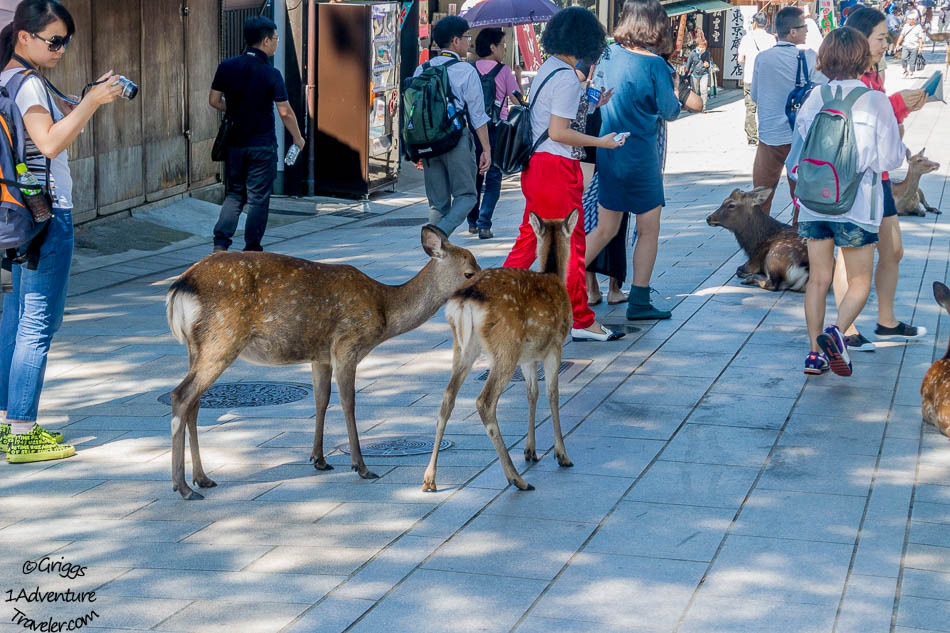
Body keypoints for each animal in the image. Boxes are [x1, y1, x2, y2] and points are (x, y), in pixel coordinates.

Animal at [165, 227, 484, 498]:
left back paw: (202, 478)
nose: (486, 288)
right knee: (180, 395)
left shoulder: (319, 356)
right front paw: (361, 466)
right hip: (223, 337)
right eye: (469, 271)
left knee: (193, 403)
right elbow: (348, 401)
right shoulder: (347, 344)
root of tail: (178, 289)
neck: (384, 309)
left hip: (197, 347)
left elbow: (321, 399)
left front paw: (318, 459)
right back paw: (183, 486)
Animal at [426, 210, 580, 492]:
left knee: (447, 397)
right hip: (505, 346)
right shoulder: (554, 345)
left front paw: (531, 451)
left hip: (464, 347)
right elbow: (553, 394)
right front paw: (561, 454)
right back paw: (516, 478)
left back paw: (429, 479)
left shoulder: (528, 356)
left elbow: (532, 393)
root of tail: (465, 299)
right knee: (484, 401)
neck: (554, 275)